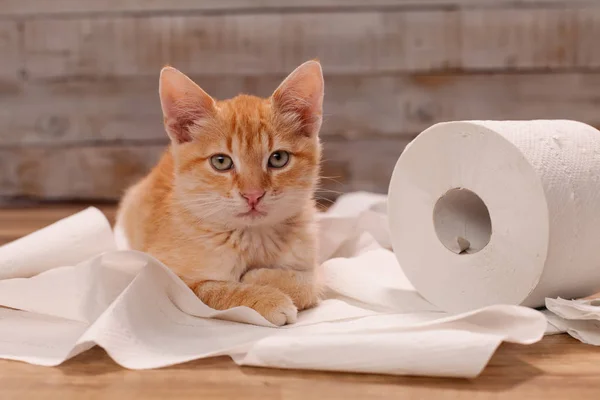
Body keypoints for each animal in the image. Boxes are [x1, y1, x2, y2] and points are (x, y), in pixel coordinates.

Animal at [116, 61, 324, 324]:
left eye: (278, 158)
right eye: (221, 162)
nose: (253, 195)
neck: (252, 238)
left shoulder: (311, 259)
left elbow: (311, 282)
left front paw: (261, 277)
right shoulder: (164, 277)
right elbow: (215, 289)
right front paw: (267, 297)